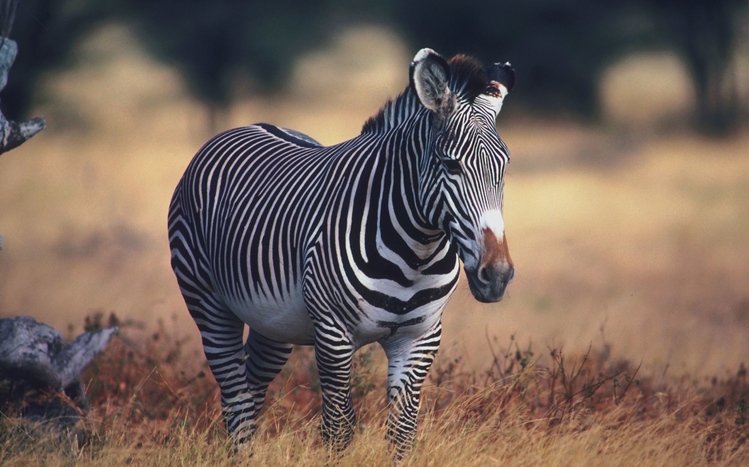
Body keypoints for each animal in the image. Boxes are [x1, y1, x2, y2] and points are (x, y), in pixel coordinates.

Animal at [167, 48, 515, 458]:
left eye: (505, 166)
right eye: (450, 164)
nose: (497, 275)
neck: (417, 251)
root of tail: (249, 126)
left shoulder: (421, 337)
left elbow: (401, 433)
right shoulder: (333, 334)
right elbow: (338, 430)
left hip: (273, 323)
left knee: (251, 389)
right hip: (208, 303)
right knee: (235, 397)